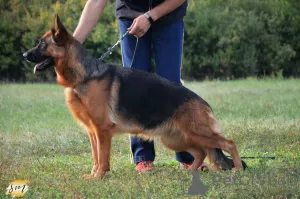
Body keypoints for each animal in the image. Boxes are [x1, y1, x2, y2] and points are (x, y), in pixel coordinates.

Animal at [23, 14, 246, 179]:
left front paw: (99, 177)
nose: (24, 55)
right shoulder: (92, 131)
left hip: (197, 134)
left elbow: (102, 158)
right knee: (201, 152)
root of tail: (203, 103)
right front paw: (93, 175)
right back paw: (191, 172)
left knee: (229, 143)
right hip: (177, 139)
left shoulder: (102, 131)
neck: (84, 75)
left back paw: (236, 169)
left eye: (41, 44)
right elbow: (95, 156)